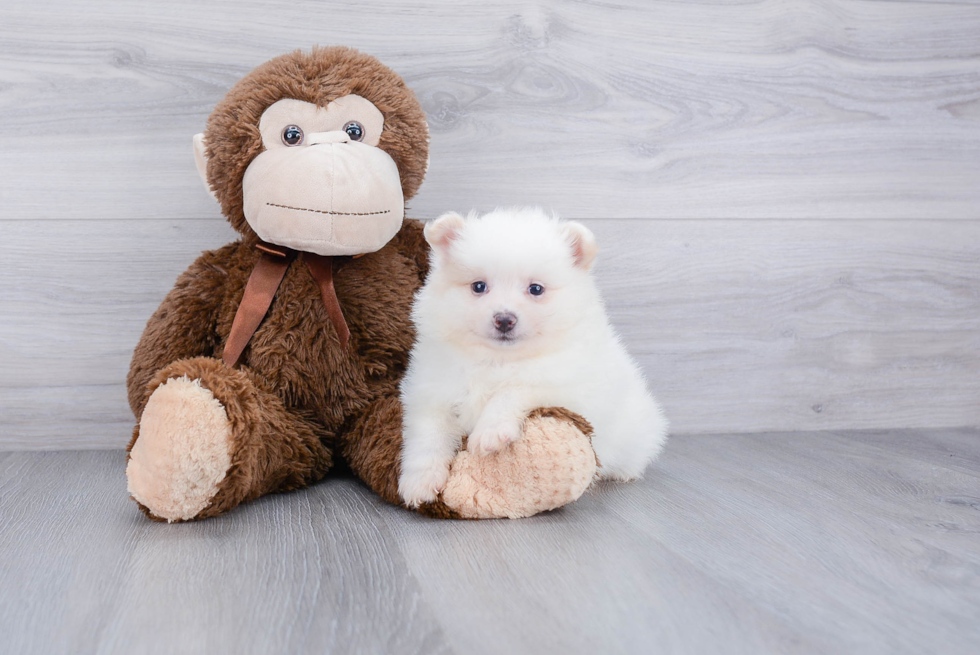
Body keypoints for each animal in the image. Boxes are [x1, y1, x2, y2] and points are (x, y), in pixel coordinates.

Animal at [398, 209, 668, 508]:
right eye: (479, 286)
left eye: (536, 289)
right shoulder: (432, 393)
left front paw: (489, 432)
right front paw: (419, 483)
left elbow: (515, 389)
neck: (498, 360)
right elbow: (428, 438)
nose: (504, 319)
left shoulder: (569, 387)